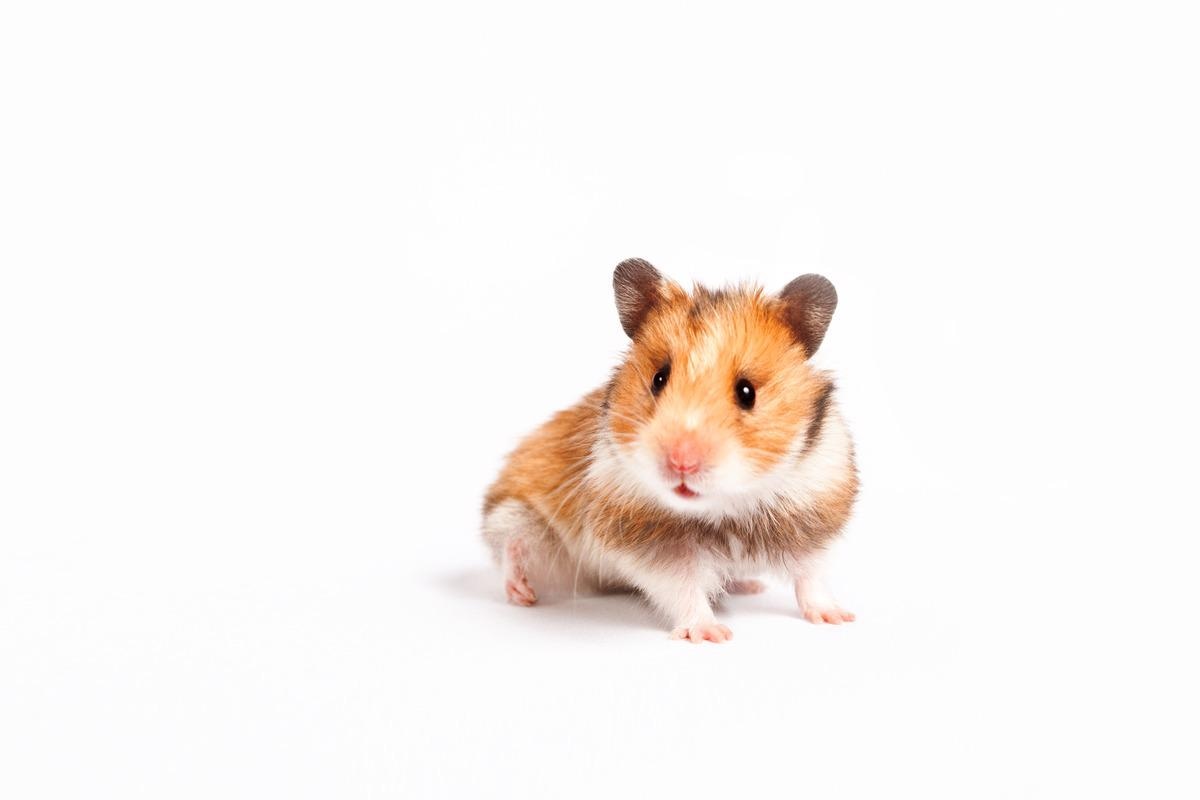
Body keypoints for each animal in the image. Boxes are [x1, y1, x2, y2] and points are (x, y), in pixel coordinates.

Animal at [482, 258, 858, 643]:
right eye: (658, 379)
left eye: (747, 392)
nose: (681, 463)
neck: (726, 507)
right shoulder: (656, 547)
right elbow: (684, 589)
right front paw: (711, 634)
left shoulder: (811, 518)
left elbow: (810, 577)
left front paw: (838, 618)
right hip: (518, 516)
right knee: (512, 545)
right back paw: (522, 592)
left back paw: (749, 585)